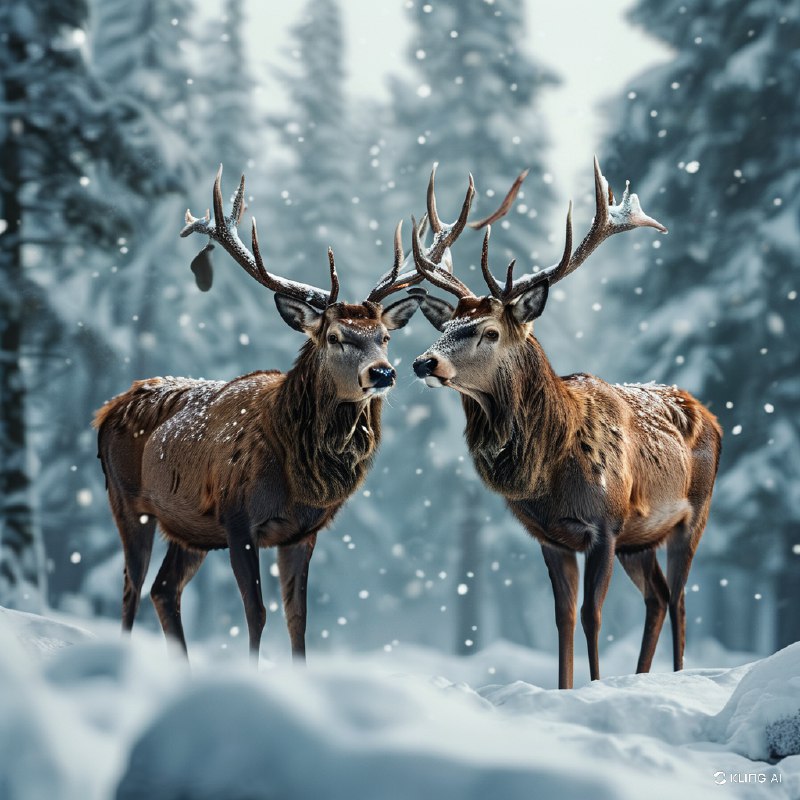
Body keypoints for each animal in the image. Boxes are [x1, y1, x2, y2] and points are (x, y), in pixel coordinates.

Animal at [409, 158, 722, 689]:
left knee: (680, 599)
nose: (424, 362)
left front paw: (593, 688)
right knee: (658, 598)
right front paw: (565, 687)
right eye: (446, 327)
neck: (550, 468)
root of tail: (711, 414)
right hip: (641, 541)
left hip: (691, 515)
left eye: (489, 331)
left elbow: (592, 615)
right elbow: (563, 619)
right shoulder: (552, 538)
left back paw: (679, 675)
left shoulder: (606, 525)